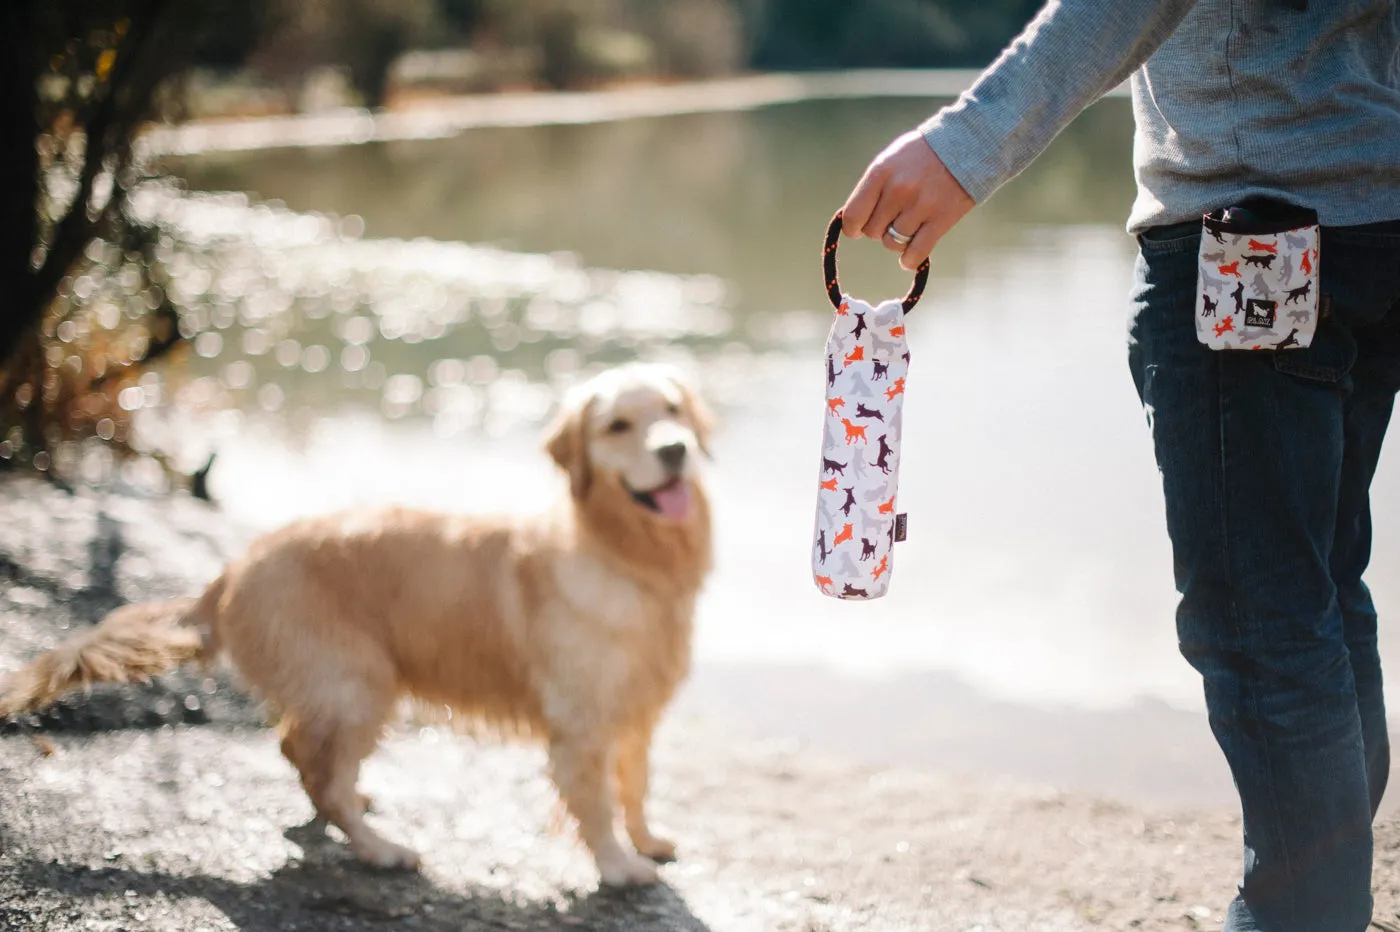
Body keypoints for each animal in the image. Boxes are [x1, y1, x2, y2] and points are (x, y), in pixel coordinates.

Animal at [0, 358, 716, 884]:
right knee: (322, 776)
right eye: (618, 425)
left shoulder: (637, 714)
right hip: (359, 683)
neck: (628, 558)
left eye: (672, 411)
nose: (676, 449)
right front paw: (619, 866)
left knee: (302, 753)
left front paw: (648, 840)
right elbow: (596, 802)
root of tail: (232, 571)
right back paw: (381, 848)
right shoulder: (582, 724)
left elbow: (635, 787)